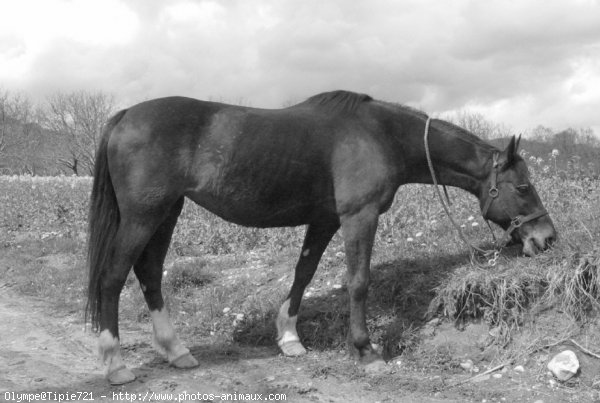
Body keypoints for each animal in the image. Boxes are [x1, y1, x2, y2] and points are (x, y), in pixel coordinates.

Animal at [85, 90, 556, 386]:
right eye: (523, 187)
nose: (547, 238)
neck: (380, 135)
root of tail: (125, 116)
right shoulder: (358, 218)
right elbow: (358, 281)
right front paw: (366, 351)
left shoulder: (325, 221)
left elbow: (304, 274)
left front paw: (290, 339)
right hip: (144, 215)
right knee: (113, 276)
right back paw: (115, 364)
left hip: (167, 213)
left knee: (150, 274)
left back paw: (176, 351)